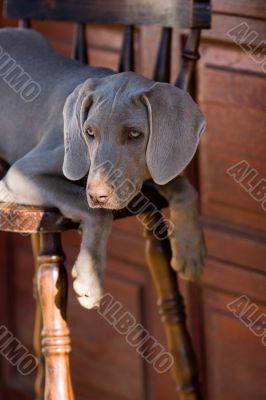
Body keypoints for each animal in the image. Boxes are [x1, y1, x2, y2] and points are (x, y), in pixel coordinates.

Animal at [0, 28, 206, 310]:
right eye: (89, 132)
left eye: (134, 134)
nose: (98, 195)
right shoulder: (21, 174)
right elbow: (96, 212)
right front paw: (90, 280)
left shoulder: (146, 171)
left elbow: (185, 187)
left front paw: (190, 251)